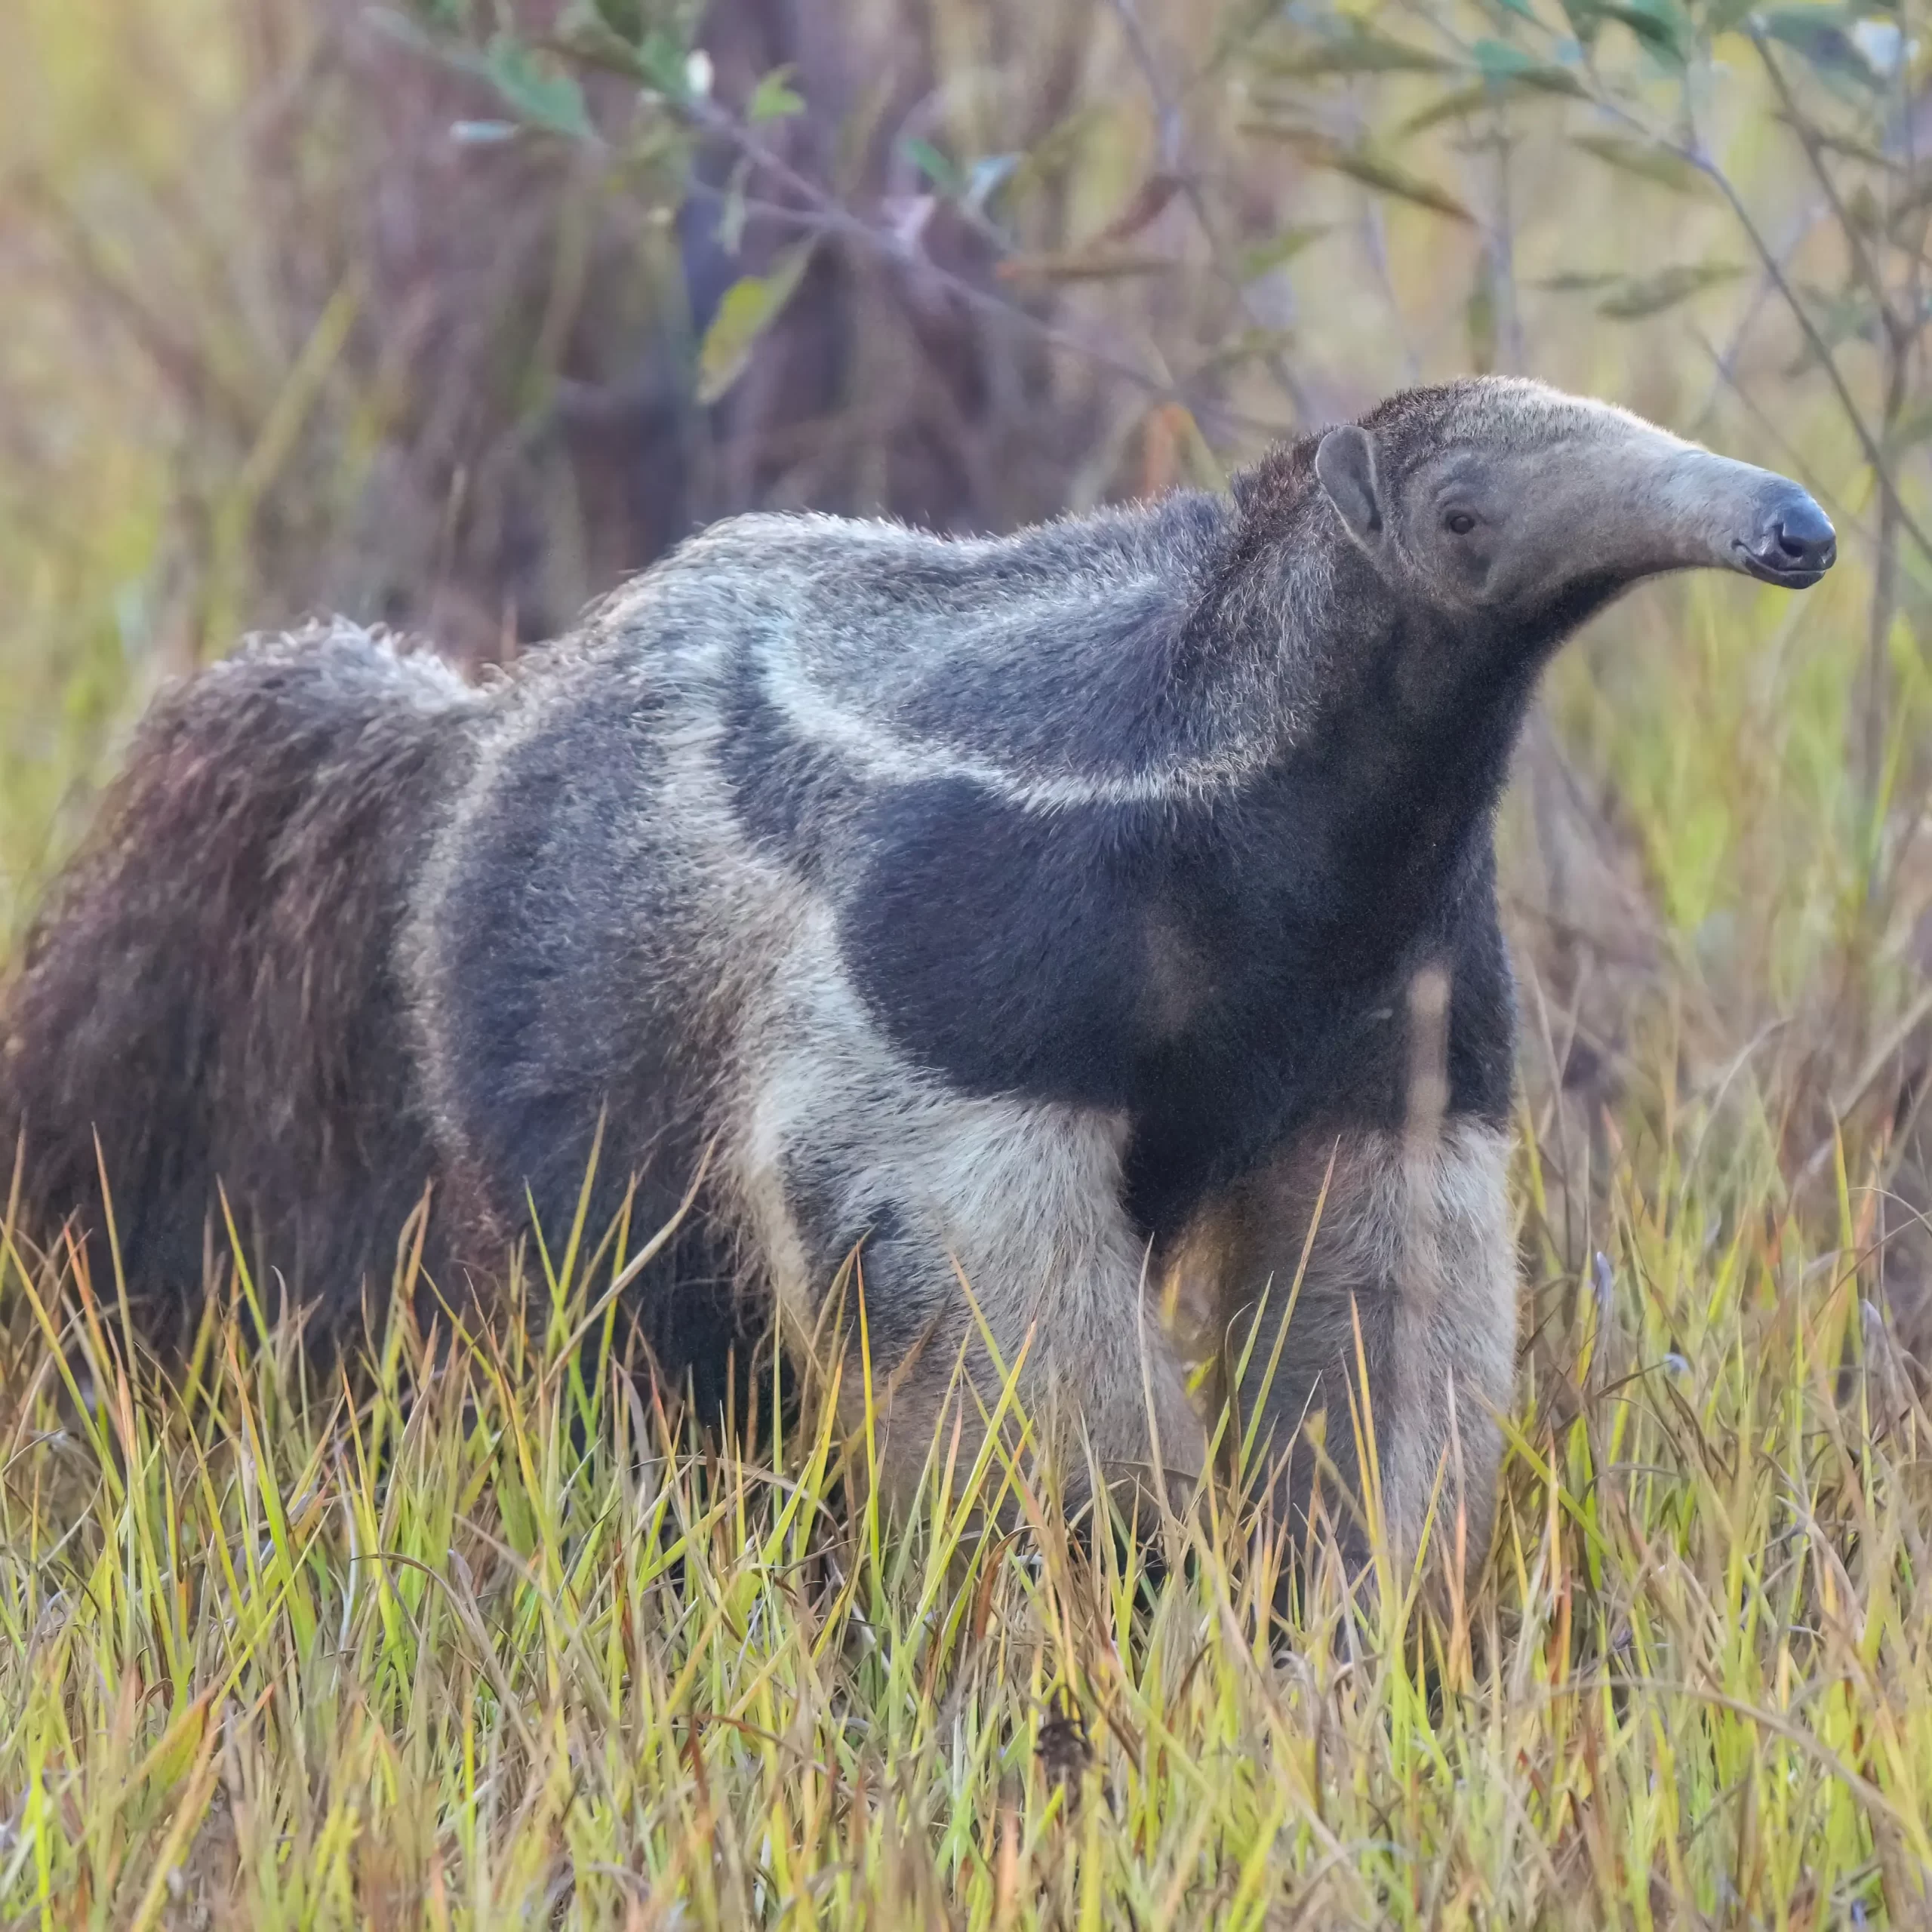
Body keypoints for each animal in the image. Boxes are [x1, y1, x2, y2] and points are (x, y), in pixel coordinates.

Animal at [0, 376, 1835, 1566]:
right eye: (1469, 513)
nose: (1797, 525)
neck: (1264, 795)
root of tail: (478, 745)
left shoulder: (1402, 1008)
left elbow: (1381, 1301)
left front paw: (1349, 1599)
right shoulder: (951, 951)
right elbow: (990, 1292)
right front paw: (1125, 1579)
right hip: (580, 1006)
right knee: (651, 1329)